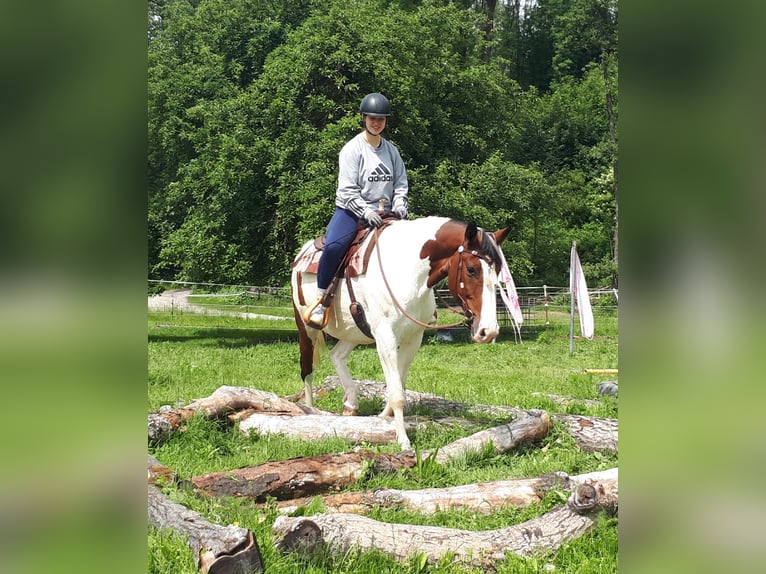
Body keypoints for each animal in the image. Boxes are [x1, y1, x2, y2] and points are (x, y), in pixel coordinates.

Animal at [292, 218, 512, 452]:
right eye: (471, 269)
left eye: (498, 270)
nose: (488, 331)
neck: (407, 270)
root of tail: (301, 256)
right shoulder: (385, 336)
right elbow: (397, 393)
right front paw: (404, 441)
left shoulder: (413, 338)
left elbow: (399, 385)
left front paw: (383, 419)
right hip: (306, 328)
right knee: (307, 370)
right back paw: (311, 412)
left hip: (354, 333)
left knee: (337, 356)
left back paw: (350, 403)